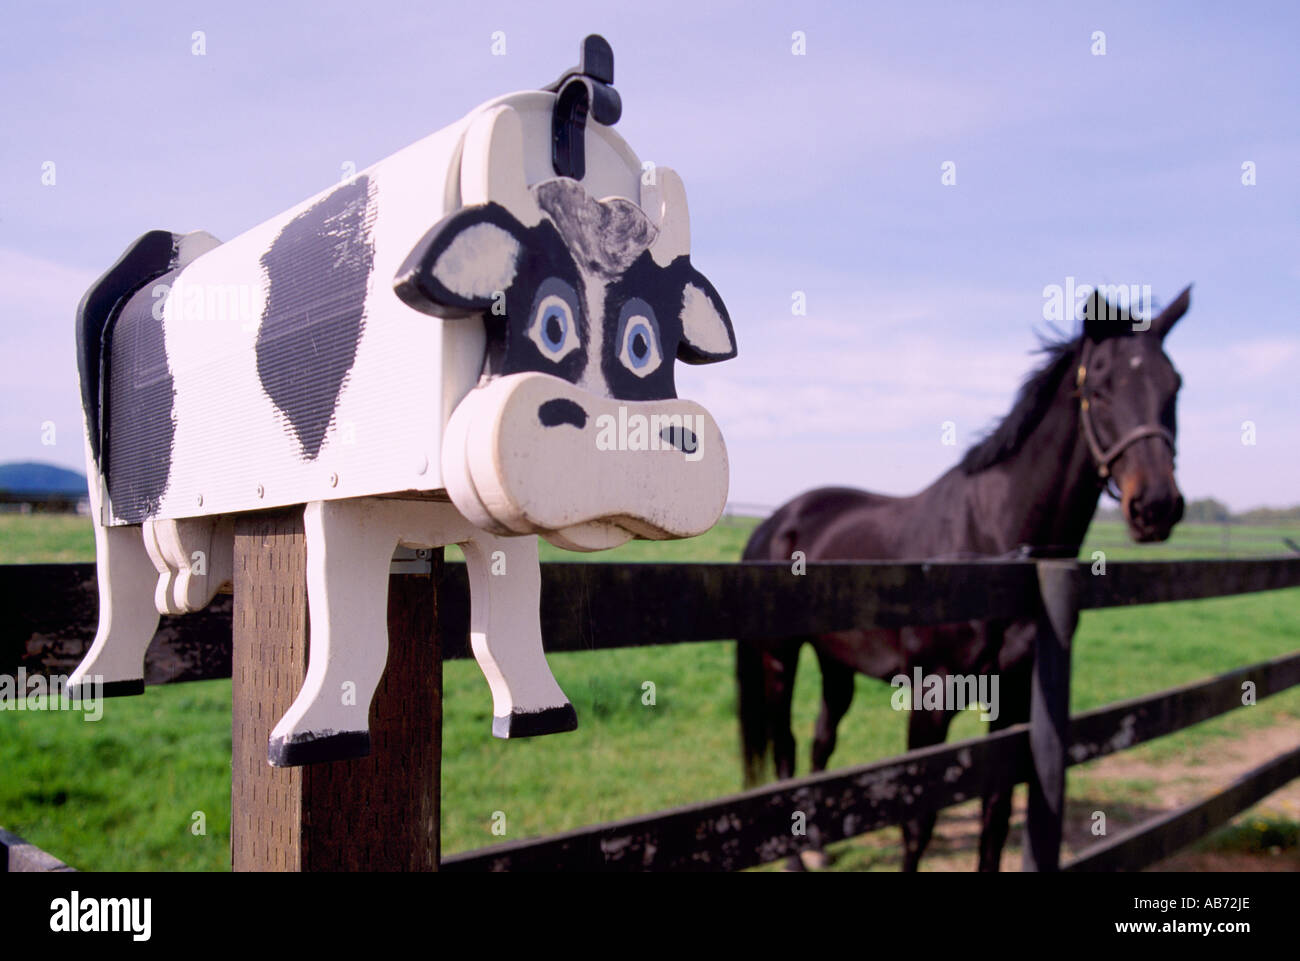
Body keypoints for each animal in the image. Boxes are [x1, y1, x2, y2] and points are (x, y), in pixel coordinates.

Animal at [738, 283, 1190, 873]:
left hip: (835, 660)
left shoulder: (1014, 699)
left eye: (1174, 386)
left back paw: (817, 847)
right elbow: (918, 822)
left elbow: (994, 815)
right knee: (786, 750)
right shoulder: (932, 697)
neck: (994, 544)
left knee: (821, 739)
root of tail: (777, 521)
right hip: (780, 657)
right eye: (1103, 386)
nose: (1156, 506)